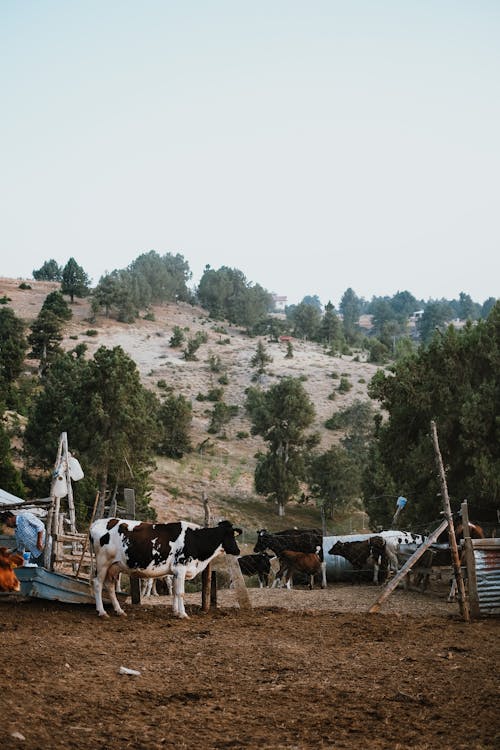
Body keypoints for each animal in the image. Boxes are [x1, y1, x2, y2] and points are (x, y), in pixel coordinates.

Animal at [90, 520, 242, 620]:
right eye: (230, 535)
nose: (238, 550)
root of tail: (98, 522)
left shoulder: (174, 572)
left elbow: (174, 592)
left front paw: (175, 611)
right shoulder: (180, 568)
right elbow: (181, 593)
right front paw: (183, 614)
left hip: (113, 567)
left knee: (109, 586)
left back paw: (119, 611)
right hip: (103, 562)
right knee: (97, 584)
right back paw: (102, 612)